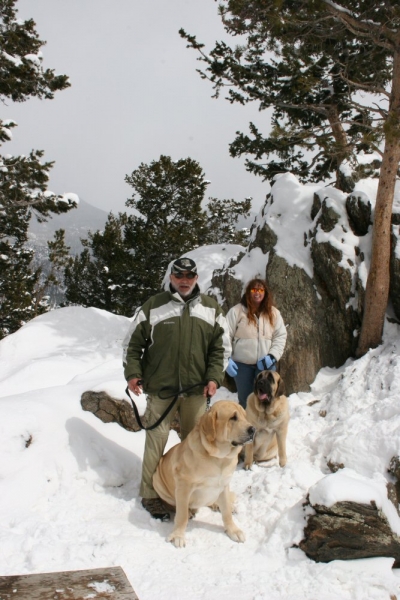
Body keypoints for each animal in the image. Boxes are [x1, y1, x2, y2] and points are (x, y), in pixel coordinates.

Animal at [152, 400, 255, 548]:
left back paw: (218, 505)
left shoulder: (224, 485)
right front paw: (178, 535)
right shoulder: (184, 485)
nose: (253, 430)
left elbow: (226, 513)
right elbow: (182, 515)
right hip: (157, 481)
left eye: (244, 416)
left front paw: (233, 530)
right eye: (233, 418)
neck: (219, 458)